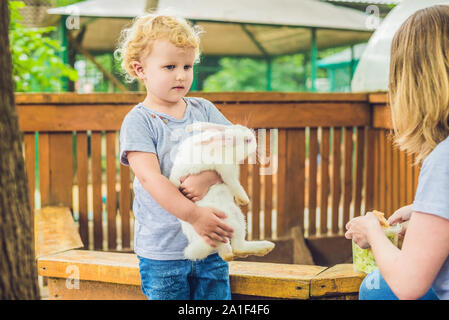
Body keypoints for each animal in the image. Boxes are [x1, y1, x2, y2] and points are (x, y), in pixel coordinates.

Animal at [168, 121, 272, 262]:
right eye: (247, 141)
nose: (254, 140)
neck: (223, 148)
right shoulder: (226, 171)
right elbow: (234, 184)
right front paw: (244, 200)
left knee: (226, 250)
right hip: (234, 220)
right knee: (238, 247)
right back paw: (265, 246)